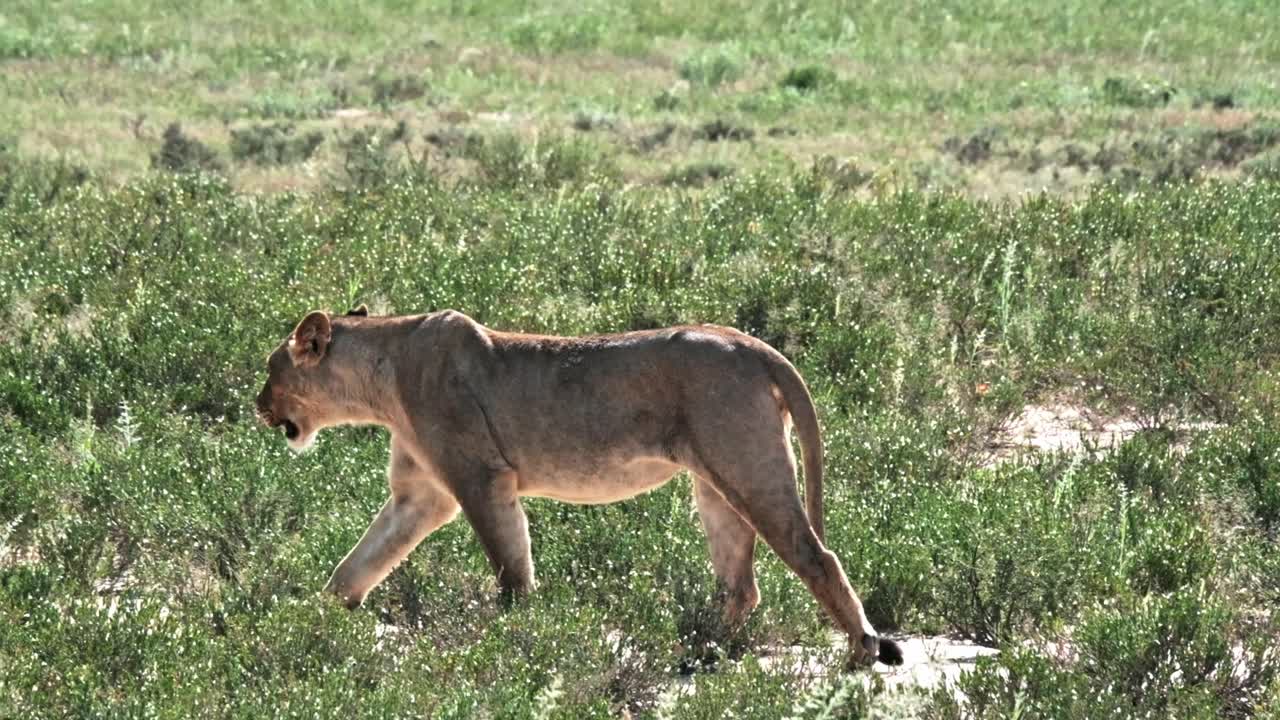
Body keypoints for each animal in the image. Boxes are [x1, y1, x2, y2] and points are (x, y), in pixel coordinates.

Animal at [255, 306, 903, 667]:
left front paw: (517, 636)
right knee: (741, 587)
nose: (258, 406)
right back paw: (699, 650)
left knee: (816, 556)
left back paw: (859, 652)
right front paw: (313, 620)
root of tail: (756, 344)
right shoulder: (421, 496)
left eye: (270, 369)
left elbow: (510, 568)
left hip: (748, 467)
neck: (382, 379)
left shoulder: (481, 478)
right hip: (716, 485)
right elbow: (356, 566)